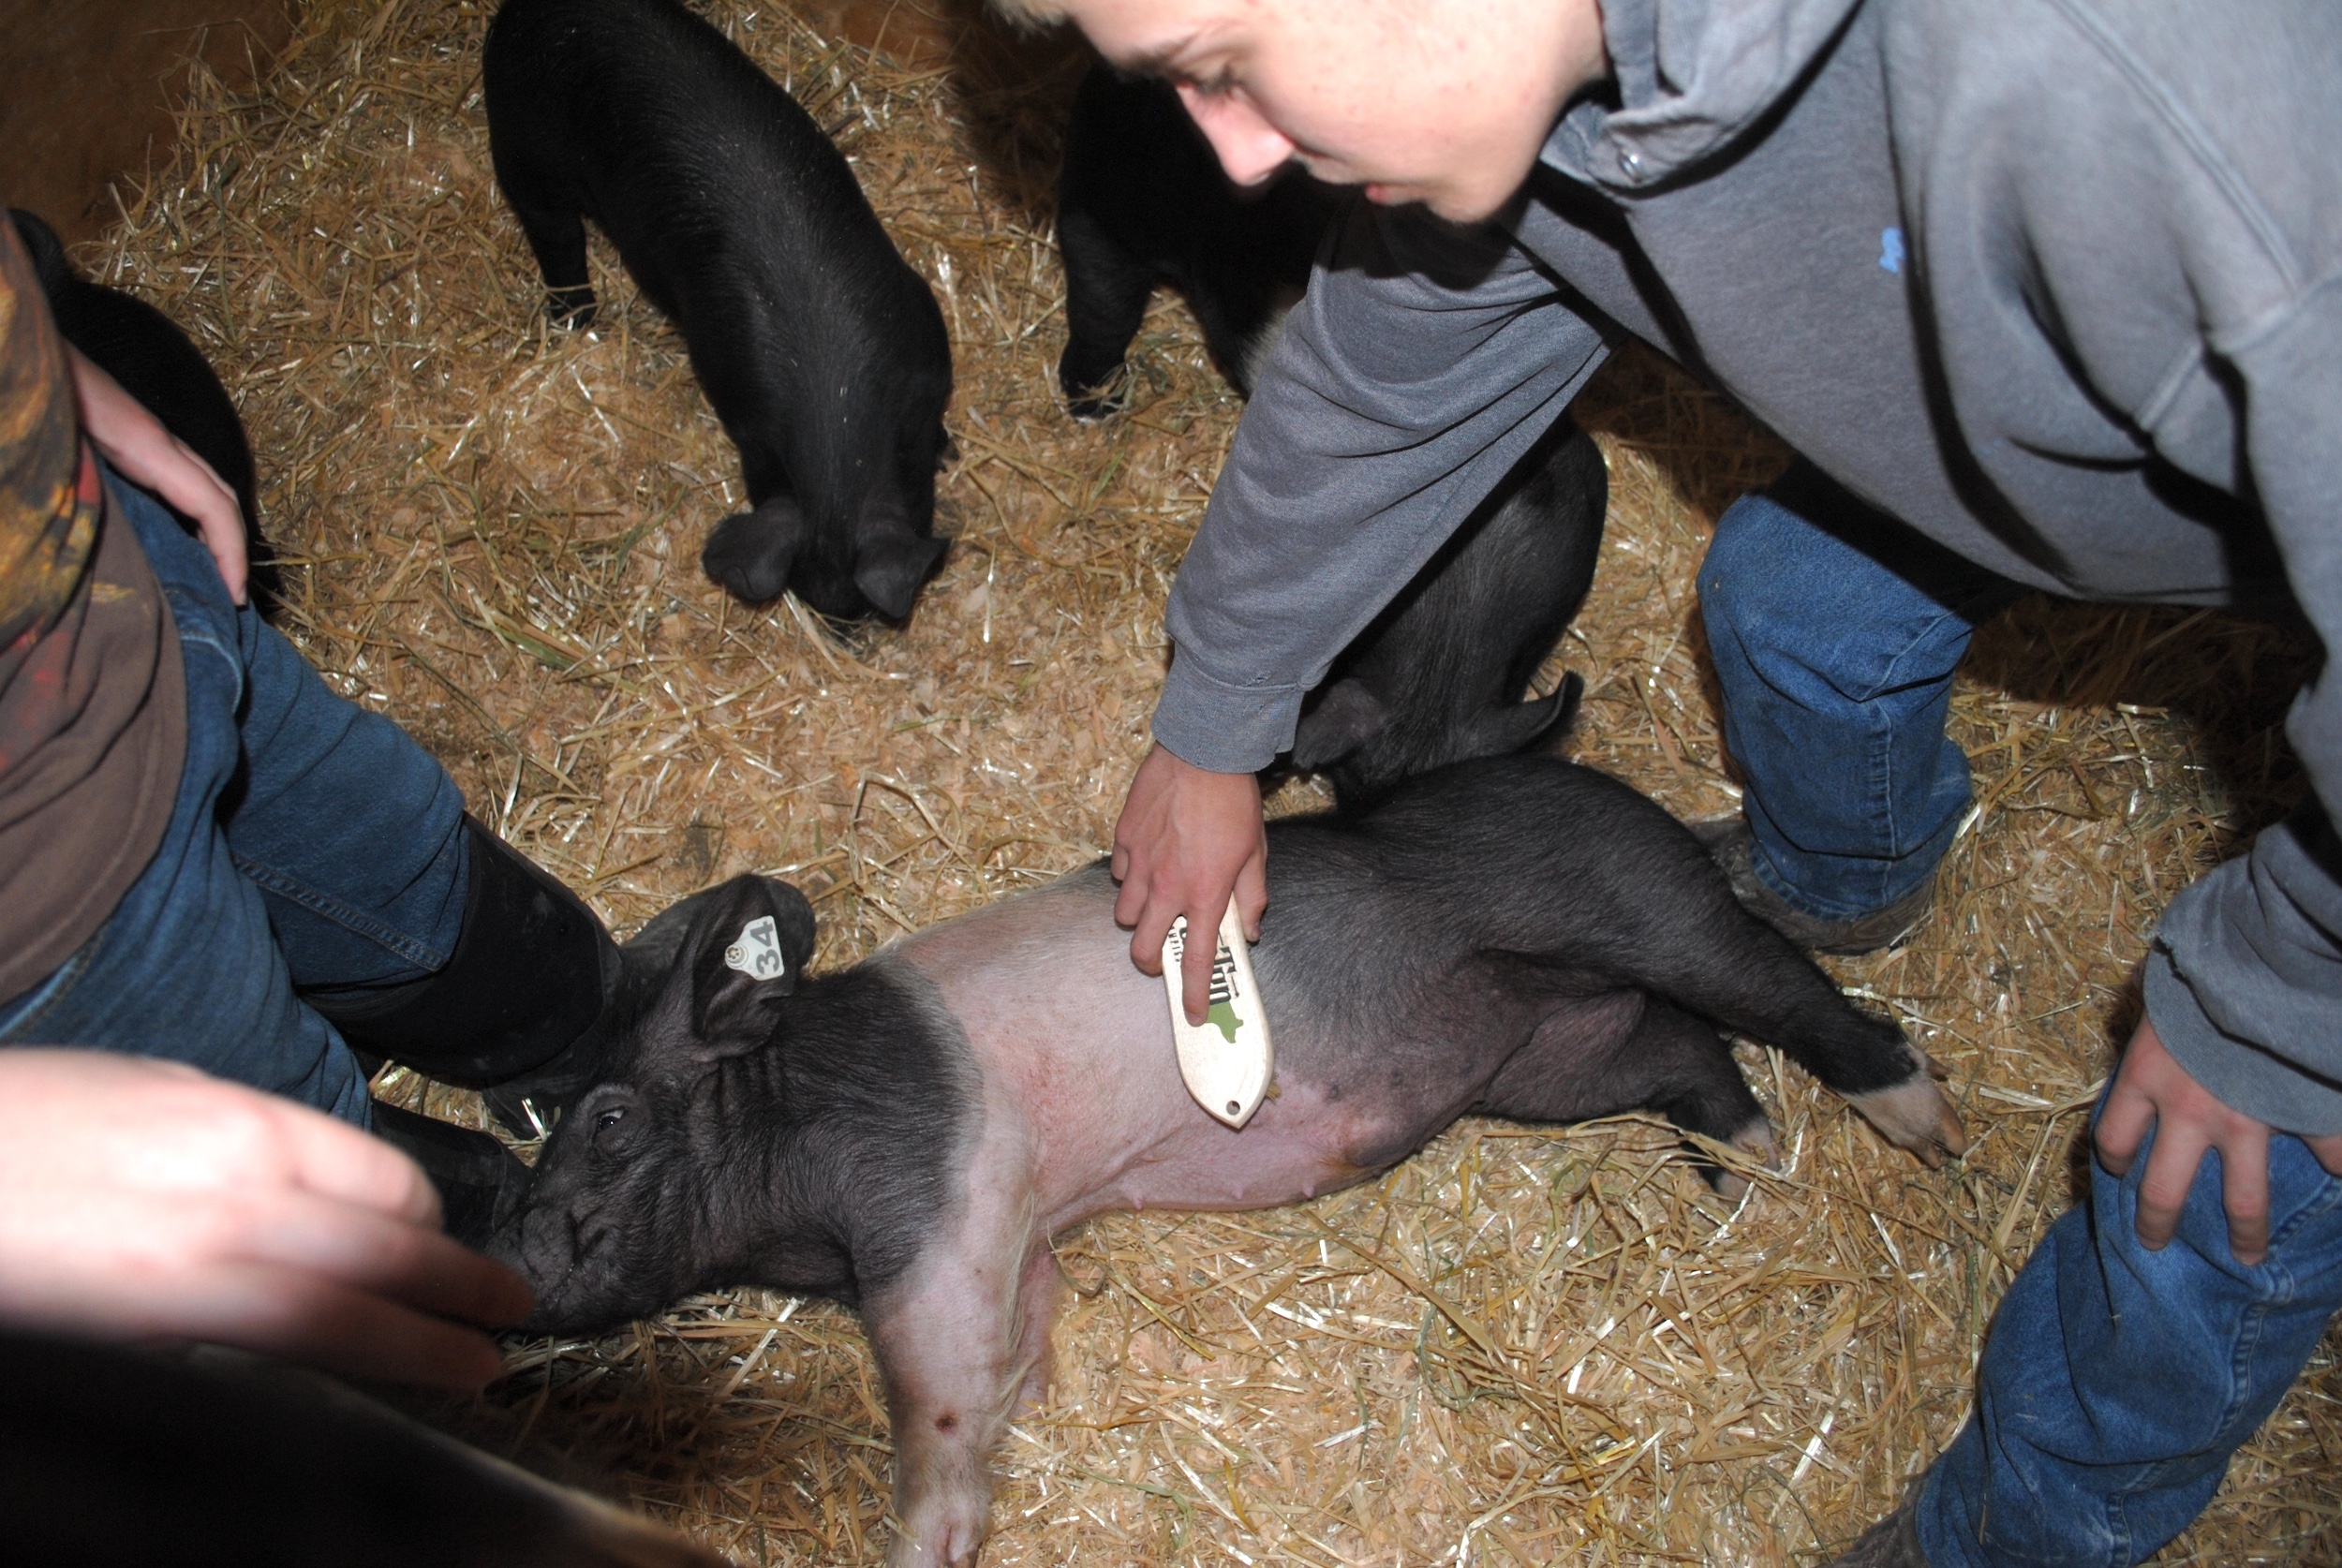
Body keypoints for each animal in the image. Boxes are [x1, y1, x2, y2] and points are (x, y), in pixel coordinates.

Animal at [482, 0, 955, 620]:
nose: (844, 631)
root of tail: (523, 13)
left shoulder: (923, 326)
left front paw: (948, 453)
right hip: (521, 145)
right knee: (554, 235)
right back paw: (575, 323)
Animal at [493, 753, 1966, 1567]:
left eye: (609, 1120)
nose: (509, 1253)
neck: (791, 1126)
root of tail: (1613, 787)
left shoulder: (932, 1210)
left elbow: (938, 1402)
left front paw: (925, 1543)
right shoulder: (1021, 1233)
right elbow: (1020, 1349)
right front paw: (1021, 1420)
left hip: (1633, 902)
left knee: (1775, 985)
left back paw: (1924, 1125)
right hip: (1542, 1057)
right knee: (1680, 1043)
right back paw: (1747, 1170)